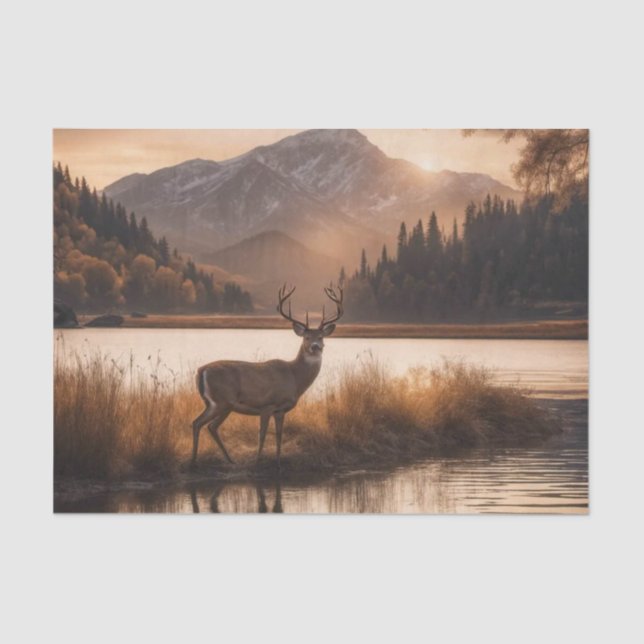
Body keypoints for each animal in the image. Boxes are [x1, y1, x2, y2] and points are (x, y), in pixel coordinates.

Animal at [191, 283, 344, 470]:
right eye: (306, 338)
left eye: (321, 337)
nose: (315, 347)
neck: (294, 378)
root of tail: (201, 370)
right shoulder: (267, 405)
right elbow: (262, 434)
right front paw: (257, 461)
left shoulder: (280, 410)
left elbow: (279, 435)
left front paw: (278, 463)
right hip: (223, 401)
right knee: (206, 425)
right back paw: (207, 460)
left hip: (215, 403)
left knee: (202, 424)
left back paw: (211, 460)